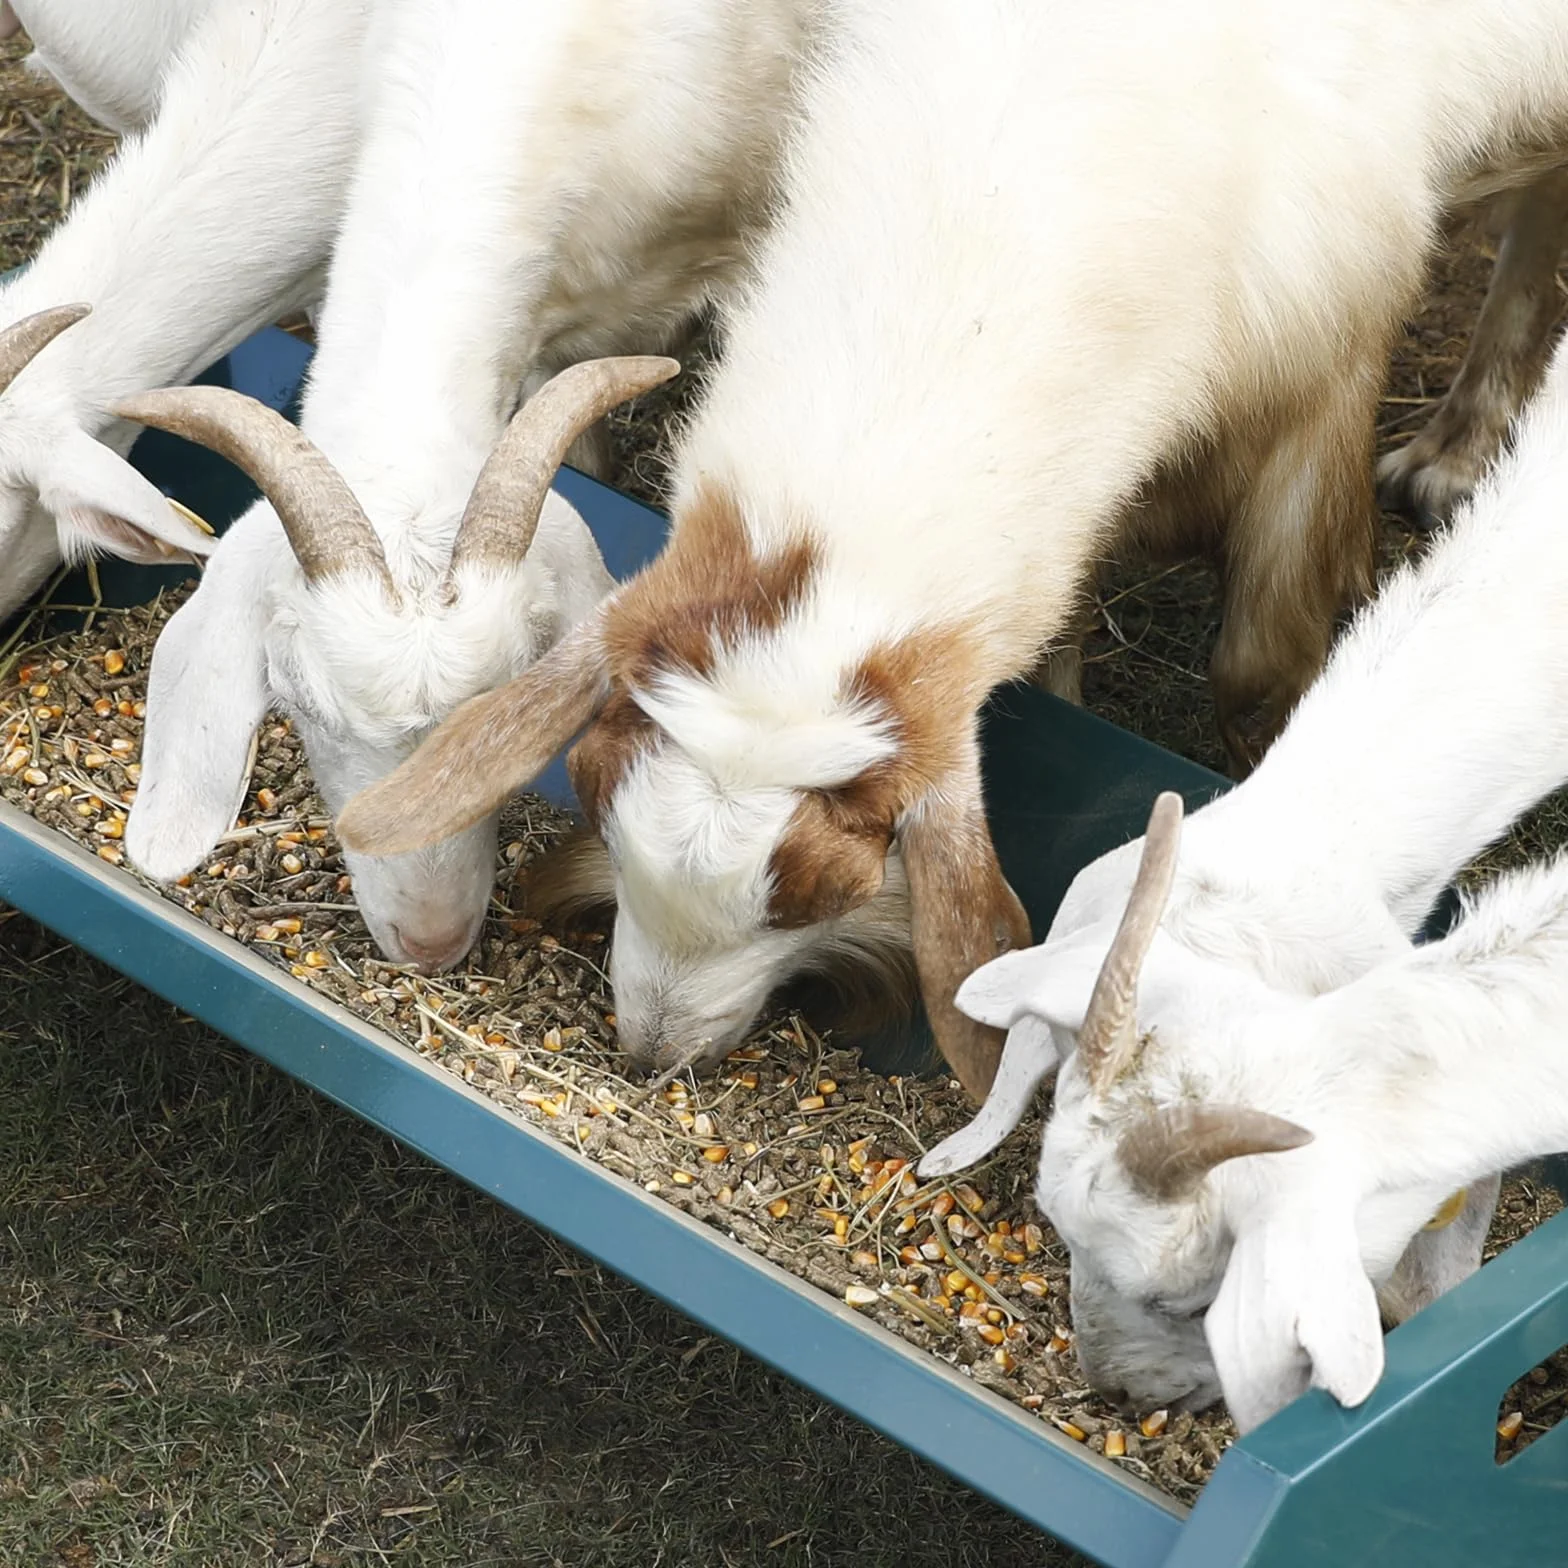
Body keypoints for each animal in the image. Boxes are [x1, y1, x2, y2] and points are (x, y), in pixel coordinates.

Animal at [336, 0, 1568, 1099]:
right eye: (599, 809)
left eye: (822, 891)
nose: (650, 1051)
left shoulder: (1325, 358)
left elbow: (1259, 666)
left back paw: (1459, 449)